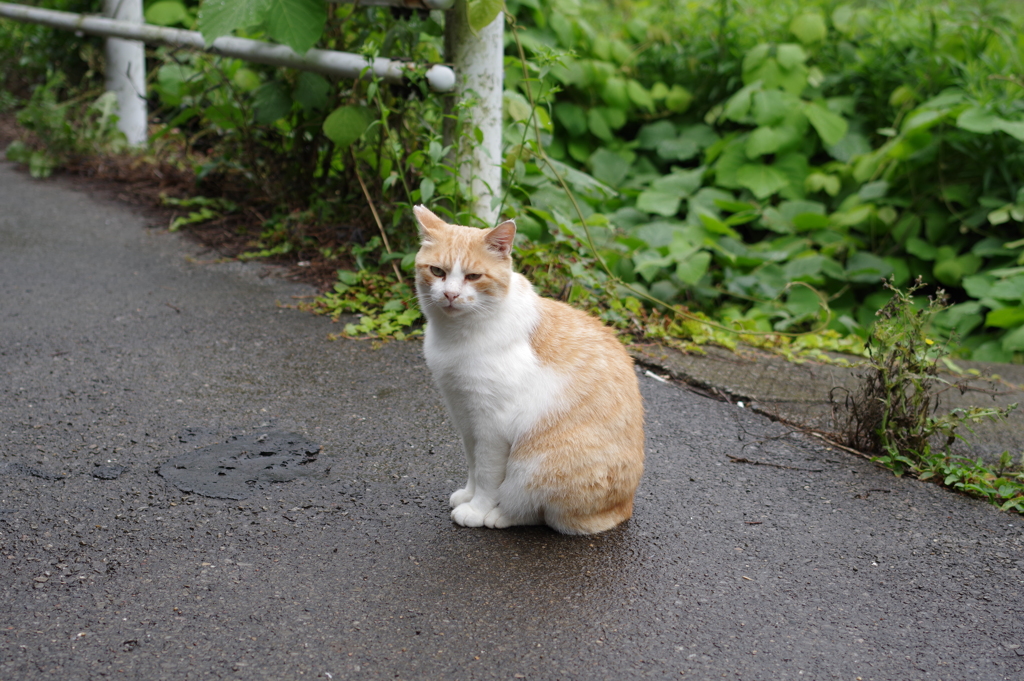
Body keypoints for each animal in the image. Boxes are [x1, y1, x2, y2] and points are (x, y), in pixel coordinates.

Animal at [411, 204, 643, 532]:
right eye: (437, 272)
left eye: (473, 276)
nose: (451, 294)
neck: (456, 335)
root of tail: (624, 507)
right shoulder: (463, 413)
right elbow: (472, 463)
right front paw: (468, 495)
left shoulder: (491, 425)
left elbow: (487, 475)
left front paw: (476, 509)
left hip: (535, 465)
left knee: (540, 512)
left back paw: (498, 515)